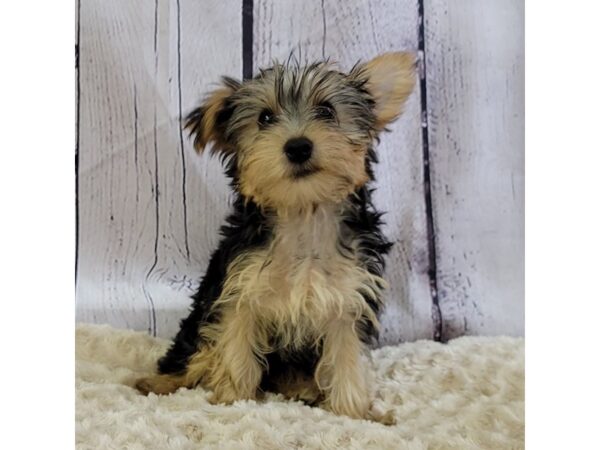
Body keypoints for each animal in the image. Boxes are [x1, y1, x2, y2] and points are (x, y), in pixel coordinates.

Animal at [136, 51, 414, 422]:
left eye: (327, 110)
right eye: (265, 118)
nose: (298, 147)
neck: (302, 213)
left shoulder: (348, 299)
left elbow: (346, 359)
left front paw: (354, 413)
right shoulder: (240, 291)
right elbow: (237, 347)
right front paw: (233, 400)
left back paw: (302, 387)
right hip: (198, 323)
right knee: (194, 353)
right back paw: (158, 382)